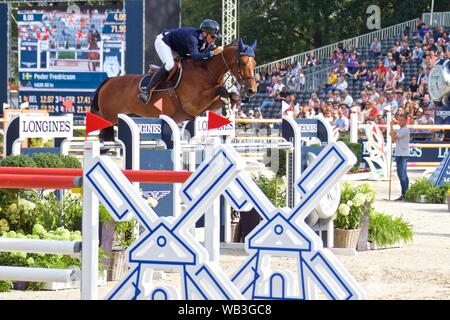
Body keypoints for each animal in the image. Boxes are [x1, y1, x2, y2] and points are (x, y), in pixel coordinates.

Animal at [91, 37, 256, 140]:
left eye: (254, 64)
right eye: (242, 63)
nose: (252, 90)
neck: (207, 70)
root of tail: (109, 80)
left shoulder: (206, 105)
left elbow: (228, 94)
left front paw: (229, 105)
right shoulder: (193, 104)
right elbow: (220, 90)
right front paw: (227, 104)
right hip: (110, 118)